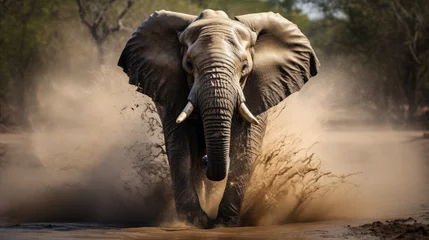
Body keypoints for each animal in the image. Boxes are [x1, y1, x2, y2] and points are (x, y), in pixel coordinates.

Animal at [117, 8, 318, 227]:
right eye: (189, 65)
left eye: (245, 67)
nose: (207, 160)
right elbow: (179, 146)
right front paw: (195, 222)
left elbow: (246, 146)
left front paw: (224, 224)